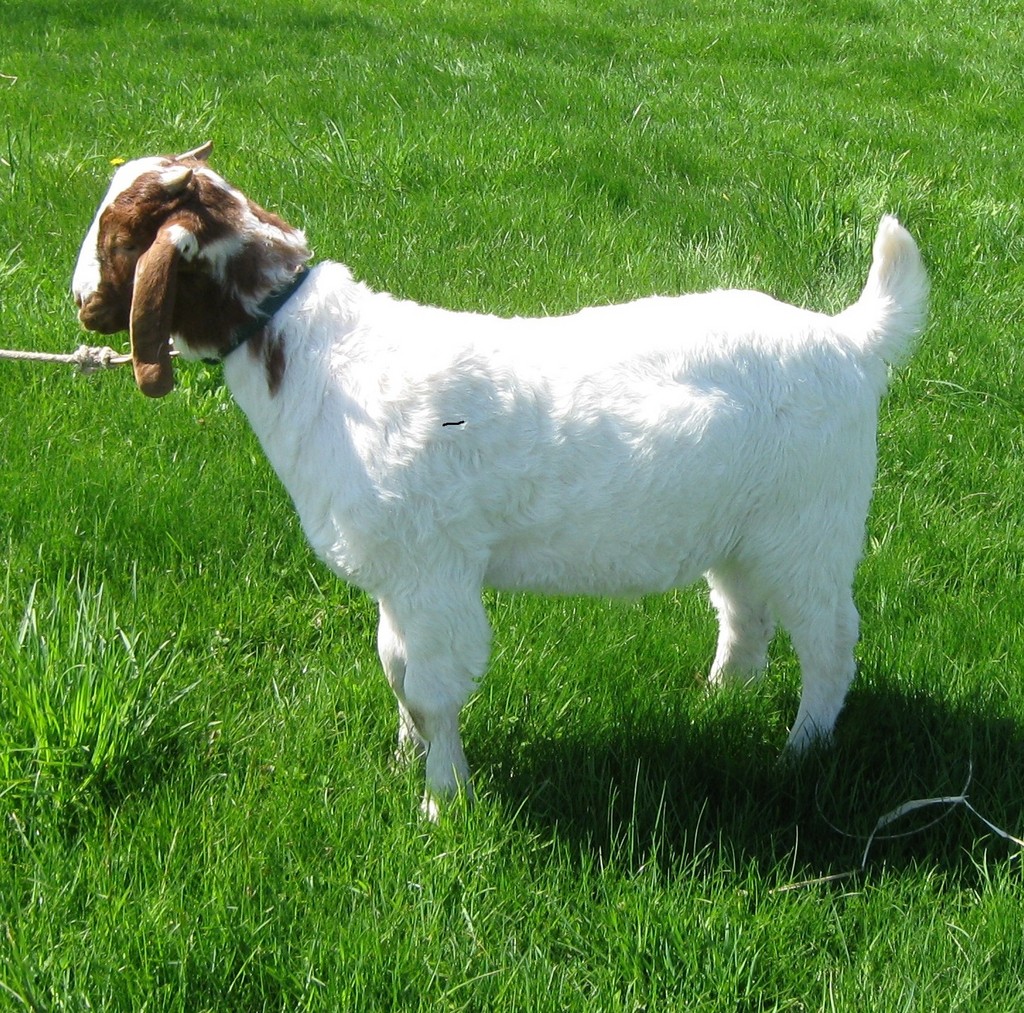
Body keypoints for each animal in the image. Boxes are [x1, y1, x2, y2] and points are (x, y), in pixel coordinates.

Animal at [72, 142, 928, 817]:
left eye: (118, 237)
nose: (79, 302)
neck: (315, 356)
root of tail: (850, 339)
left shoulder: (432, 571)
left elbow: (430, 686)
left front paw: (441, 799)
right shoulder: (400, 576)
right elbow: (395, 667)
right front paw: (402, 759)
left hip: (812, 523)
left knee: (830, 639)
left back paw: (799, 751)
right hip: (742, 527)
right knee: (746, 615)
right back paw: (721, 701)